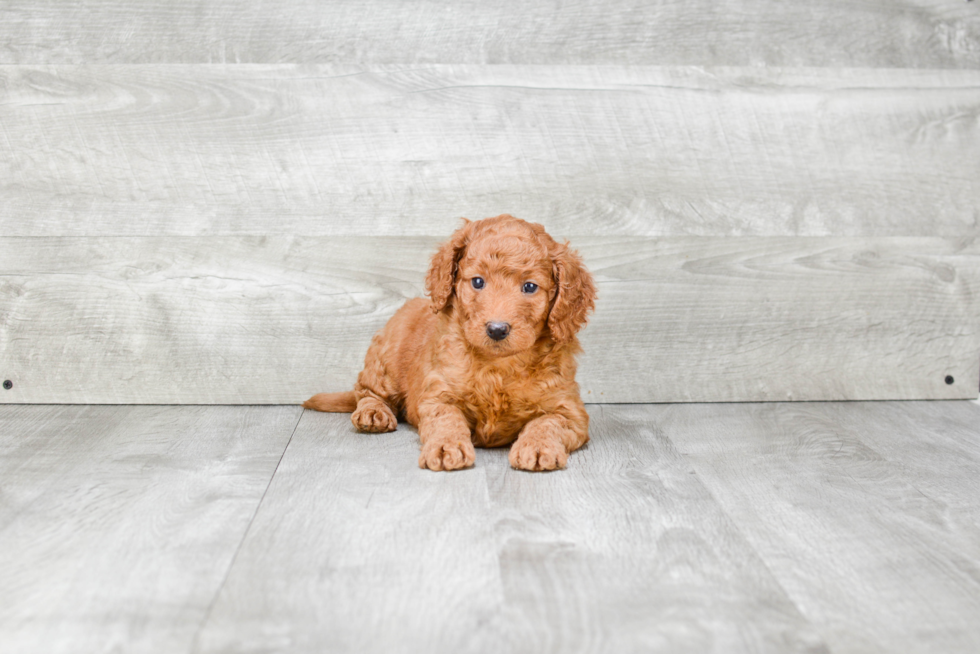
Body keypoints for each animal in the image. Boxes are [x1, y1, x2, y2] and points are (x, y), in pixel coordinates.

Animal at [304, 215, 596, 472]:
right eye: (477, 281)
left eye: (530, 287)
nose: (497, 329)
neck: (498, 366)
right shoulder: (438, 396)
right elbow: (447, 420)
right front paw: (446, 447)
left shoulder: (569, 411)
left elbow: (547, 423)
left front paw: (538, 447)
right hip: (384, 360)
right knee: (367, 391)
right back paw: (373, 413)